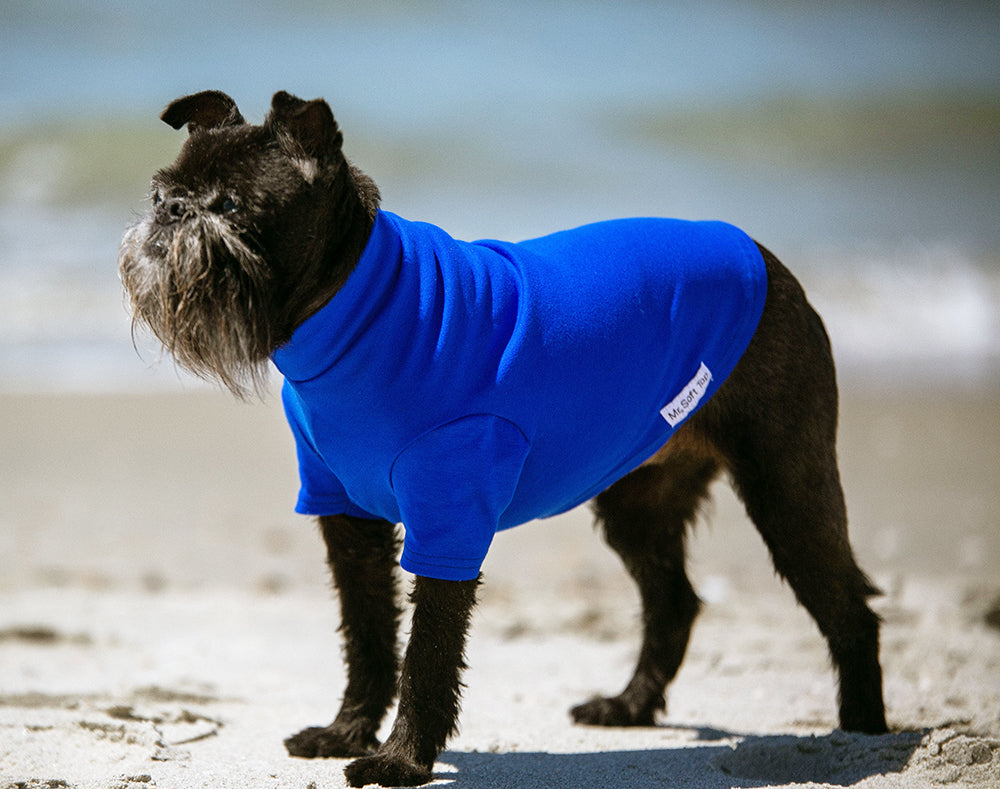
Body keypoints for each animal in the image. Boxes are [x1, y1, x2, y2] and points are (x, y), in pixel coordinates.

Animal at [121, 91, 888, 780]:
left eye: (230, 206)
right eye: (164, 191)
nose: (170, 210)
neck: (359, 315)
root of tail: (763, 254)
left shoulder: (448, 517)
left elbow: (427, 652)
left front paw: (401, 759)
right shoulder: (347, 517)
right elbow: (367, 636)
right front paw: (347, 732)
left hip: (786, 485)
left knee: (849, 607)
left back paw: (861, 732)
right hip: (637, 500)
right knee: (673, 601)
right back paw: (629, 707)